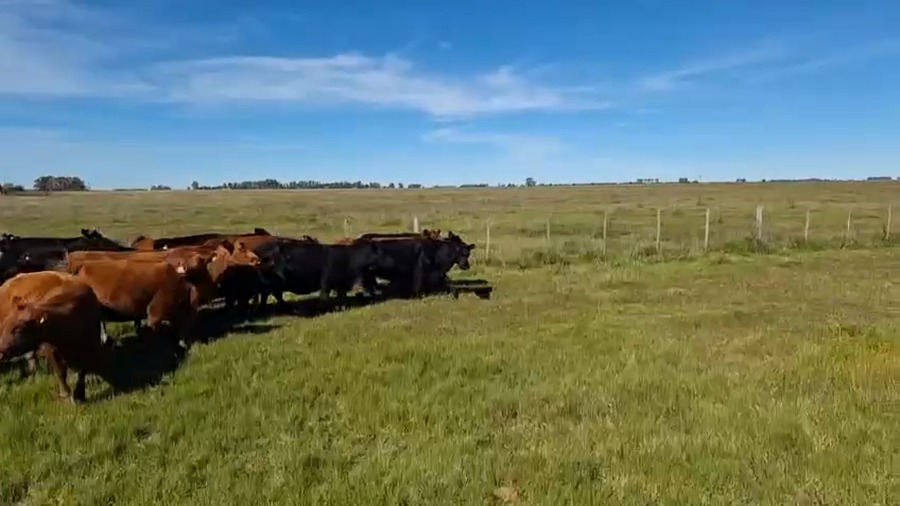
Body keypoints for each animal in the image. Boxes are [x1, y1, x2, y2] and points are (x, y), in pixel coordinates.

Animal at [0, 271, 111, 403]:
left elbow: (82, 370)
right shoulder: (50, 348)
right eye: (5, 326)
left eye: (18, 329)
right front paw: (66, 394)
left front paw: (80, 395)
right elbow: (60, 372)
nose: (0, 351)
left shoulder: (90, 346)